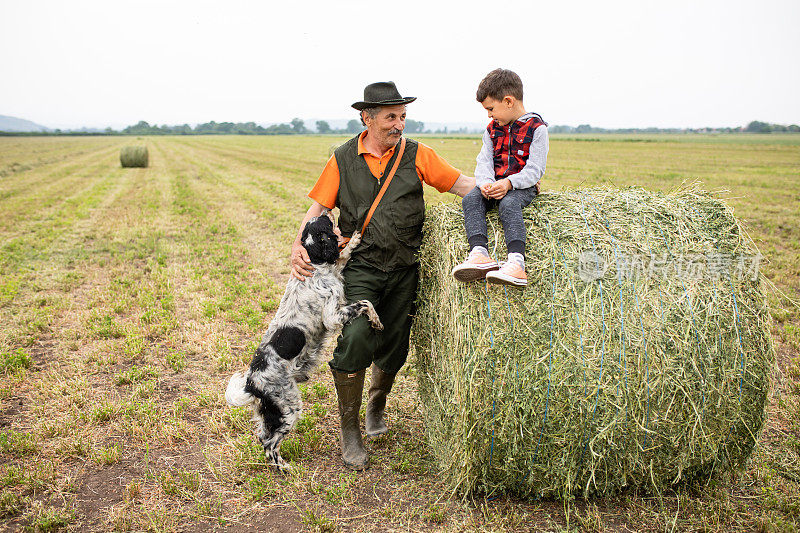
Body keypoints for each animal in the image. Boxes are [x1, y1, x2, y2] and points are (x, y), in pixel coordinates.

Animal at [223, 212, 382, 470]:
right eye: (324, 224)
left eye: (314, 223)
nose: (325, 211)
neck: (316, 264)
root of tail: (252, 382)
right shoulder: (332, 316)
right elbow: (366, 303)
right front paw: (377, 320)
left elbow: (343, 255)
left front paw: (356, 238)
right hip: (288, 407)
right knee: (270, 444)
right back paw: (285, 469)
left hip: (272, 411)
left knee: (262, 435)